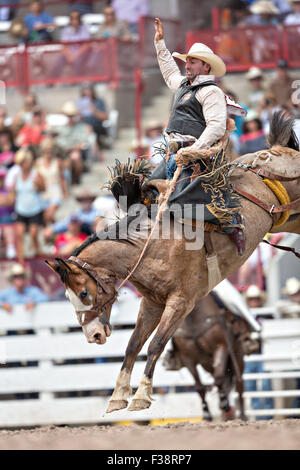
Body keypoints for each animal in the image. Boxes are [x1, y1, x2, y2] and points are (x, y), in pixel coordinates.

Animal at [162, 292, 258, 420]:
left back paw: (241, 416)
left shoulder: (221, 346)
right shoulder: (188, 359)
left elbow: (218, 378)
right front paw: (206, 413)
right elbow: (199, 387)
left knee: (239, 383)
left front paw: (224, 403)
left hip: (237, 356)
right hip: (207, 364)